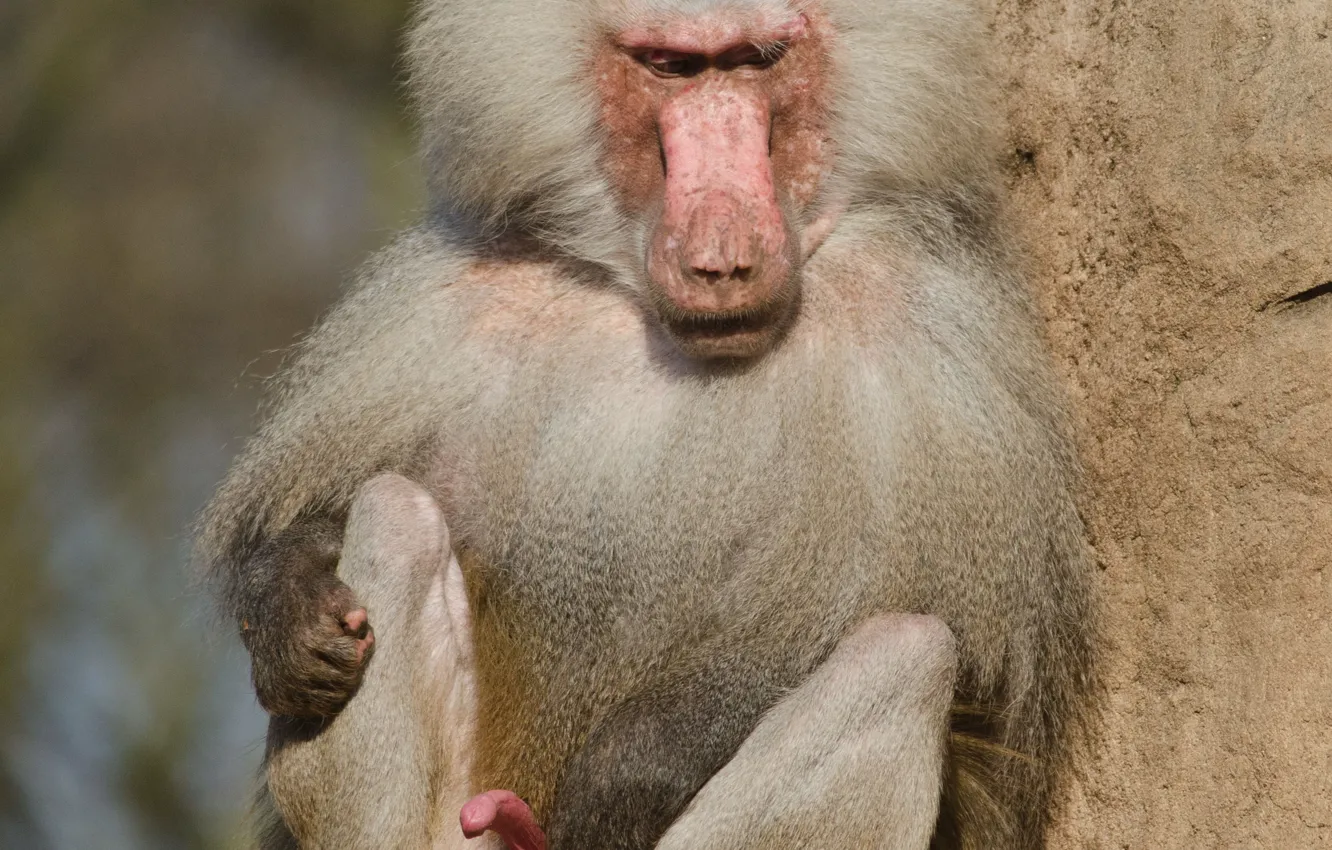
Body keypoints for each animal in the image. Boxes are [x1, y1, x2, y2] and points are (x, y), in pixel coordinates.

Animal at [197, 0, 1099, 848]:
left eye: (755, 59)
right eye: (670, 66)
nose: (722, 259)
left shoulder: (936, 346)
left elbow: (956, 642)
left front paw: (632, 774)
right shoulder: (454, 299)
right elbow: (311, 521)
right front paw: (288, 598)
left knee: (907, 655)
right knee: (395, 507)